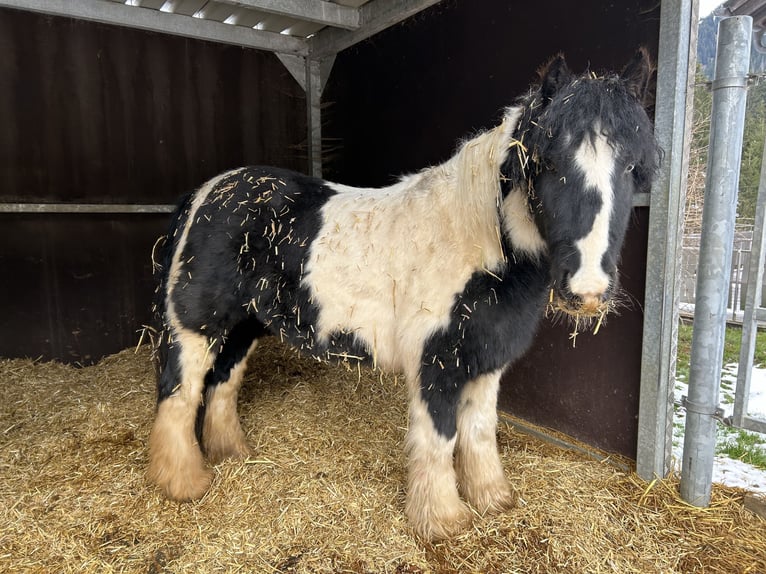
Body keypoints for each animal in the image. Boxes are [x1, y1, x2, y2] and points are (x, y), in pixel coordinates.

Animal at [148, 51, 660, 544]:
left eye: (632, 168)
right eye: (548, 163)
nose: (587, 289)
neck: (471, 242)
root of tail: (204, 194)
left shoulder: (487, 360)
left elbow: (479, 431)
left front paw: (491, 498)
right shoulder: (436, 361)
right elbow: (439, 437)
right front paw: (443, 520)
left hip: (245, 324)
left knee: (222, 383)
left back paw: (231, 453)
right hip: (196, 326)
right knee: (180, 392)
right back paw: (183, 483)